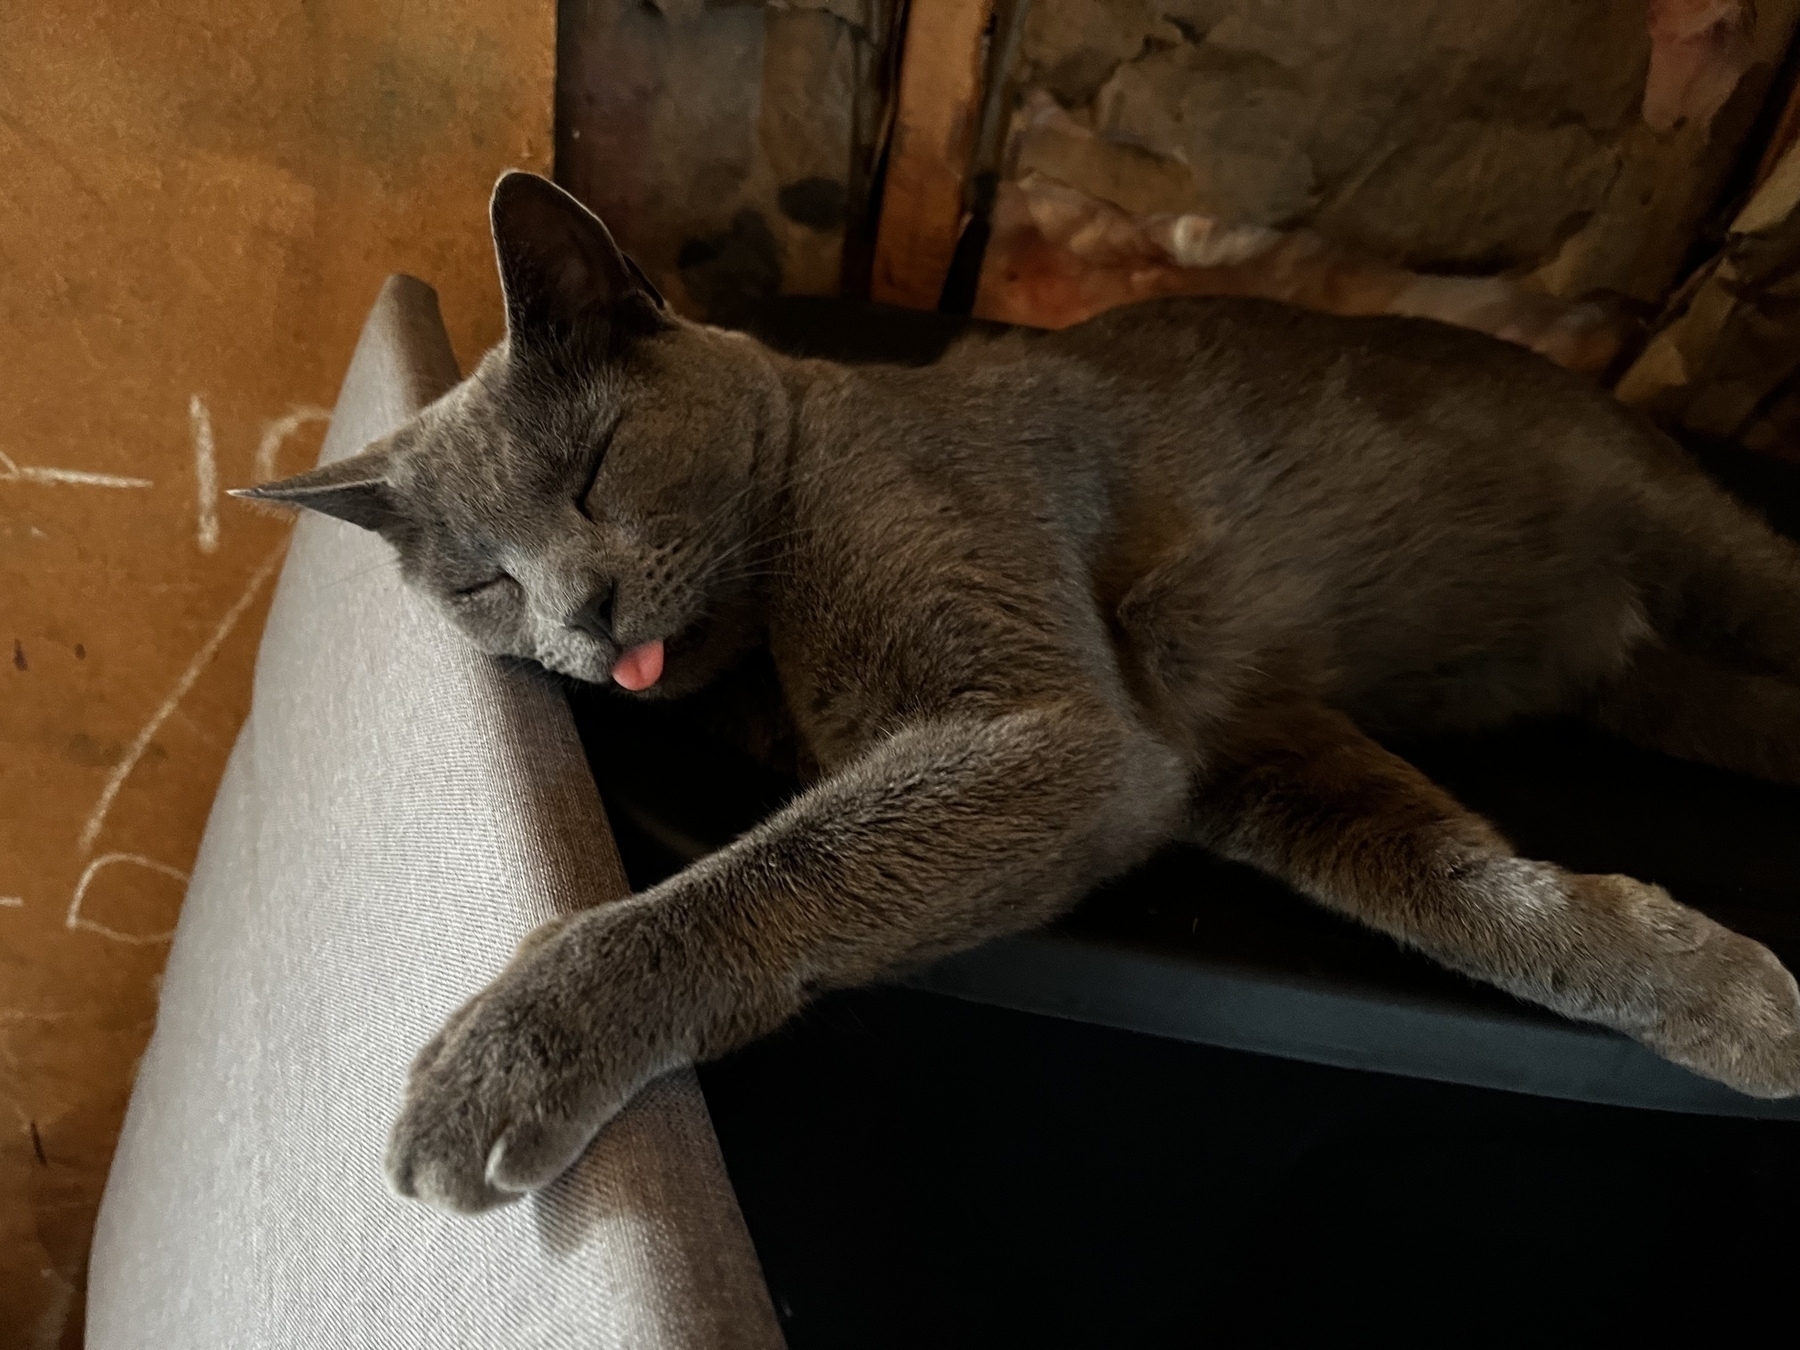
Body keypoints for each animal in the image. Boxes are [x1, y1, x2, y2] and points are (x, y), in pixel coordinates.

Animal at [239, 169, 1800, 1216]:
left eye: (595, 468)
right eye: (479, 585)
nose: (580, 614)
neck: (766, 656)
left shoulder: (1063, 732)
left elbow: (775, 866)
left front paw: (503, 1062)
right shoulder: (1237, 747)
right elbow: (1441, 881)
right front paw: (1722, 994)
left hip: (1710, 555)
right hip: (1679, 692)